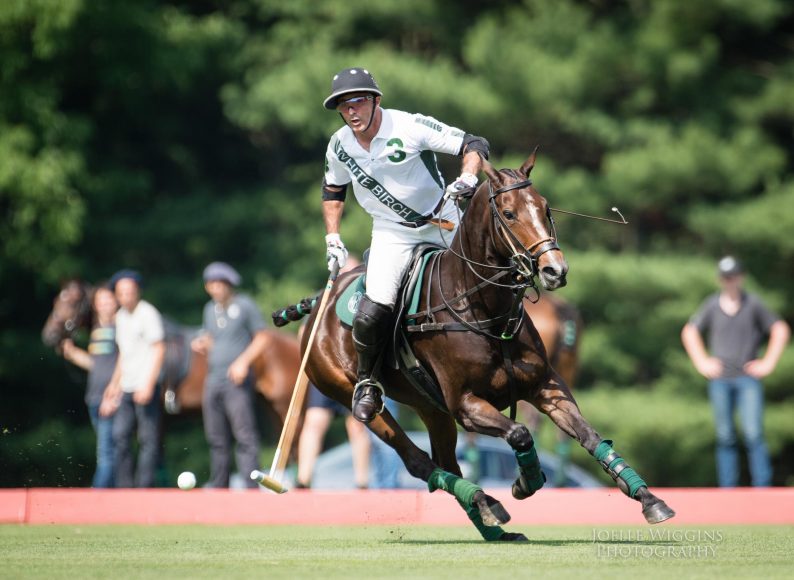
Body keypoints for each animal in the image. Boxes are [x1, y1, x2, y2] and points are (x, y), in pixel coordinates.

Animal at [282, 148, 672, 540]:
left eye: (545, 207)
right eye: (510, 213)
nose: (555, 270)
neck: (483, 308)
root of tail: (321, 302)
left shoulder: (546, 385)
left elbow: (589, 436)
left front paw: (649, 500)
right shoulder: (466, 405)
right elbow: (519, 433)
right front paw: (524, 483)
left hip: (431, 408)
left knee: (445, 461)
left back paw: (490, 523)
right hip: (348, 392)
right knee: (418, 460)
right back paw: (486, 503)